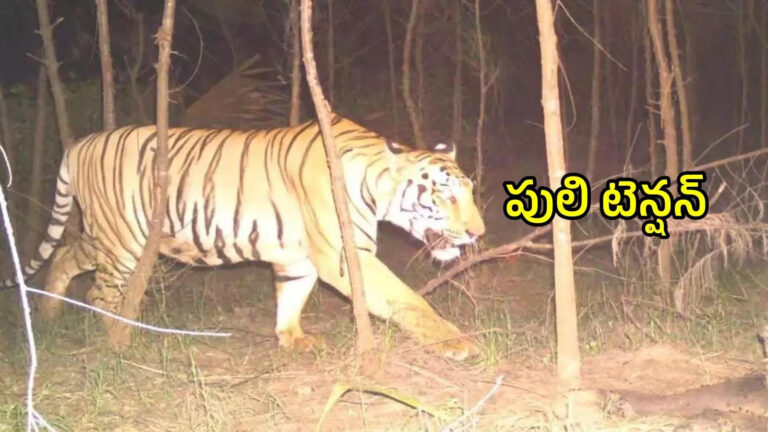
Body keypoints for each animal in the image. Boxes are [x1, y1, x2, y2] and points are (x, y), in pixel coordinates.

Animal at [4, 115, 485, 360]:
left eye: (470, 193)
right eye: (446, 195)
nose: (477, 232)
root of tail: (79, 143)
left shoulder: (299, 258)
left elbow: (291, 296)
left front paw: (292, 339)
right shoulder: (346, 256)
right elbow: (408, 299)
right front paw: (456, 342)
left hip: (106, 235)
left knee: (64, 257)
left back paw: (47, 314)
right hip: (123, 242)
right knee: (102, 294)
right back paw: (119, 340)